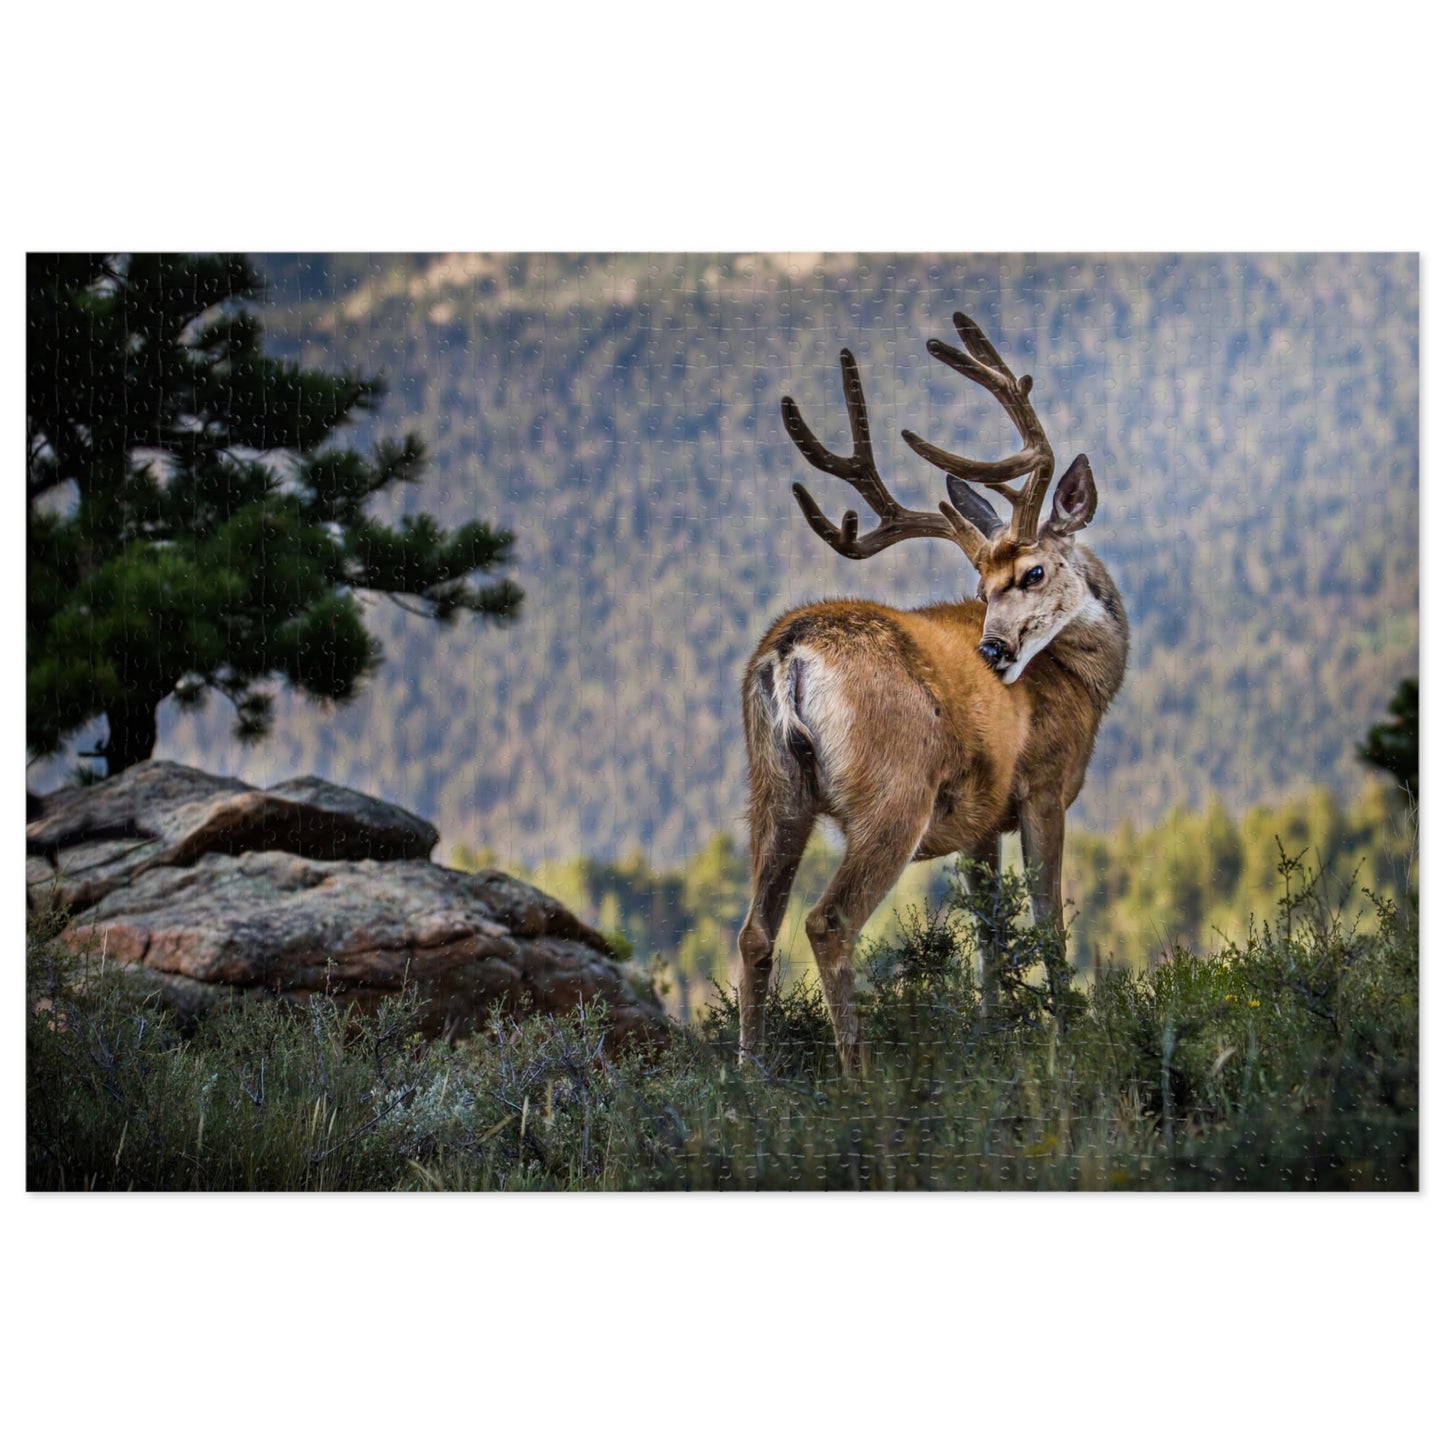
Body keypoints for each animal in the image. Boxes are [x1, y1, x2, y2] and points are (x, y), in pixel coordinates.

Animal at [734, 310, 1127, 1075]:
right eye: (983, 587)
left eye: (1031, 573)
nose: (993, 650)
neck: (1080, 680)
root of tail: (788, 654)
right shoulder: (1042, 785)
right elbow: (1046, 924)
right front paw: (1065, 1042)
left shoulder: (980, 821)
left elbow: (990, 940)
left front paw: (995, 1035)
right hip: (893, 788)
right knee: (827, 921)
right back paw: (859, 1081)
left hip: (773, 787)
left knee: (754, 932)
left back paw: (749, 1081)